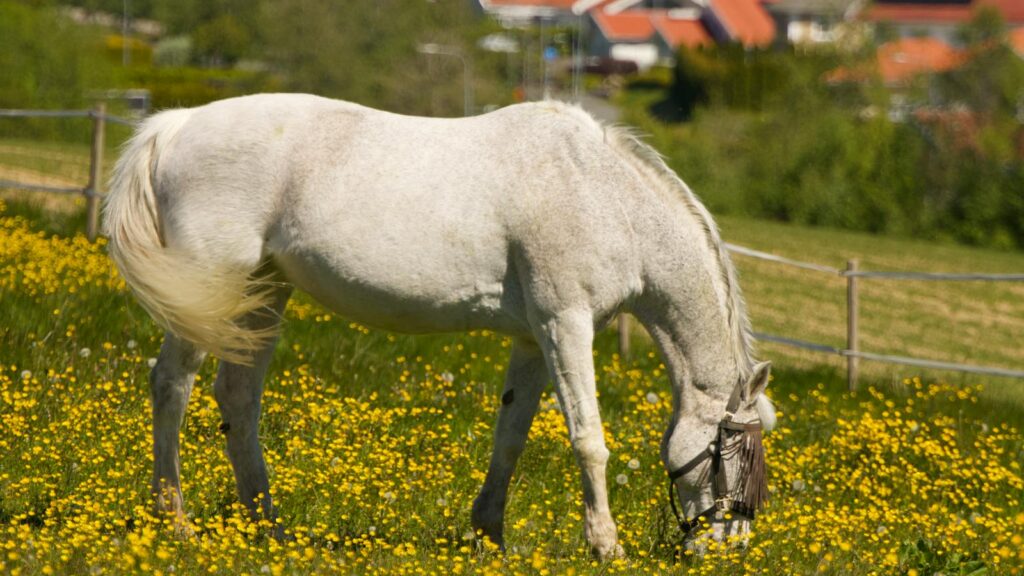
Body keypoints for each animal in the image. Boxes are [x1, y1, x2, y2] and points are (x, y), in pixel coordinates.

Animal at [103, 93, 775, 559]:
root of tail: (177, 124)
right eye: (732, 453)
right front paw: (605, 545)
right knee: (171, 386)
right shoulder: (566, 323)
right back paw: (176, 523)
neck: (601, 196)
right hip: (207, 291)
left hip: (263, 293)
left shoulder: (533, 339)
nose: (730, 549)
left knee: (238, 397)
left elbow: (511, 435)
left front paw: (489, 534)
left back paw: (268, 525)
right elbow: (589, 438)